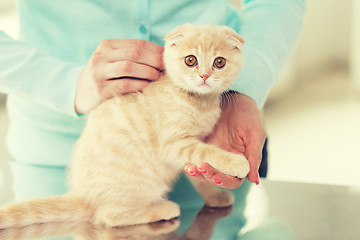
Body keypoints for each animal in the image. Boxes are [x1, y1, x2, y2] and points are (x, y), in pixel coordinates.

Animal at [0, 24, 249, 229]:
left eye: (219, 62)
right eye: (191, 60)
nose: (204, 76)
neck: (199, 101)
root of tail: (84, 197)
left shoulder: (190, 149)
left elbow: (199, 173)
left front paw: (215, 196)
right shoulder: (175, 144)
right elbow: (208, 152)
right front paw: (237, 163)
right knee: (109, 216)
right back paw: (162, 208)